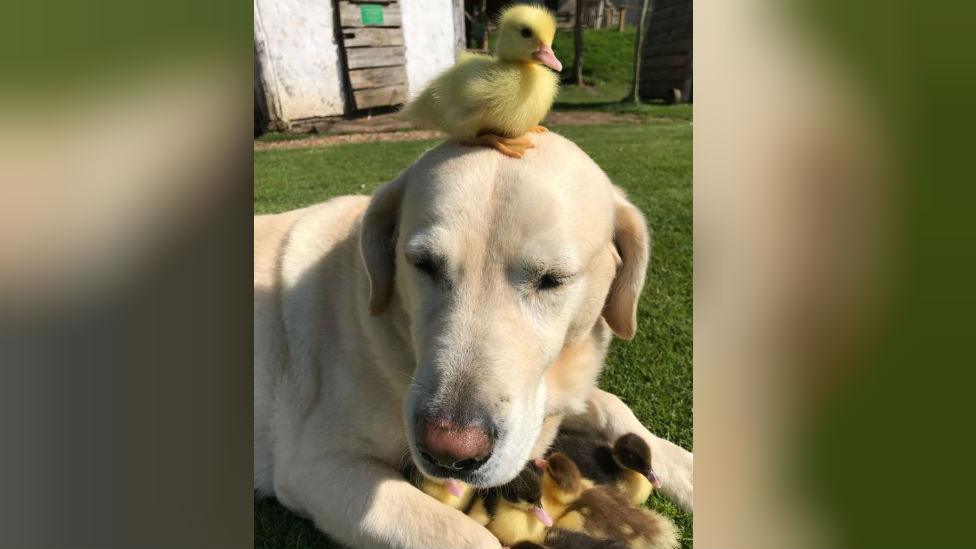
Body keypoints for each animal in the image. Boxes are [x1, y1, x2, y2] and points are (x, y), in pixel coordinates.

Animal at [254, 134, 692, 548]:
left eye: (552, 279)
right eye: (423, 264)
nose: (449, 453)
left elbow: (611, 405)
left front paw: (683, 465)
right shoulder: (317, 465)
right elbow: (470, 536)